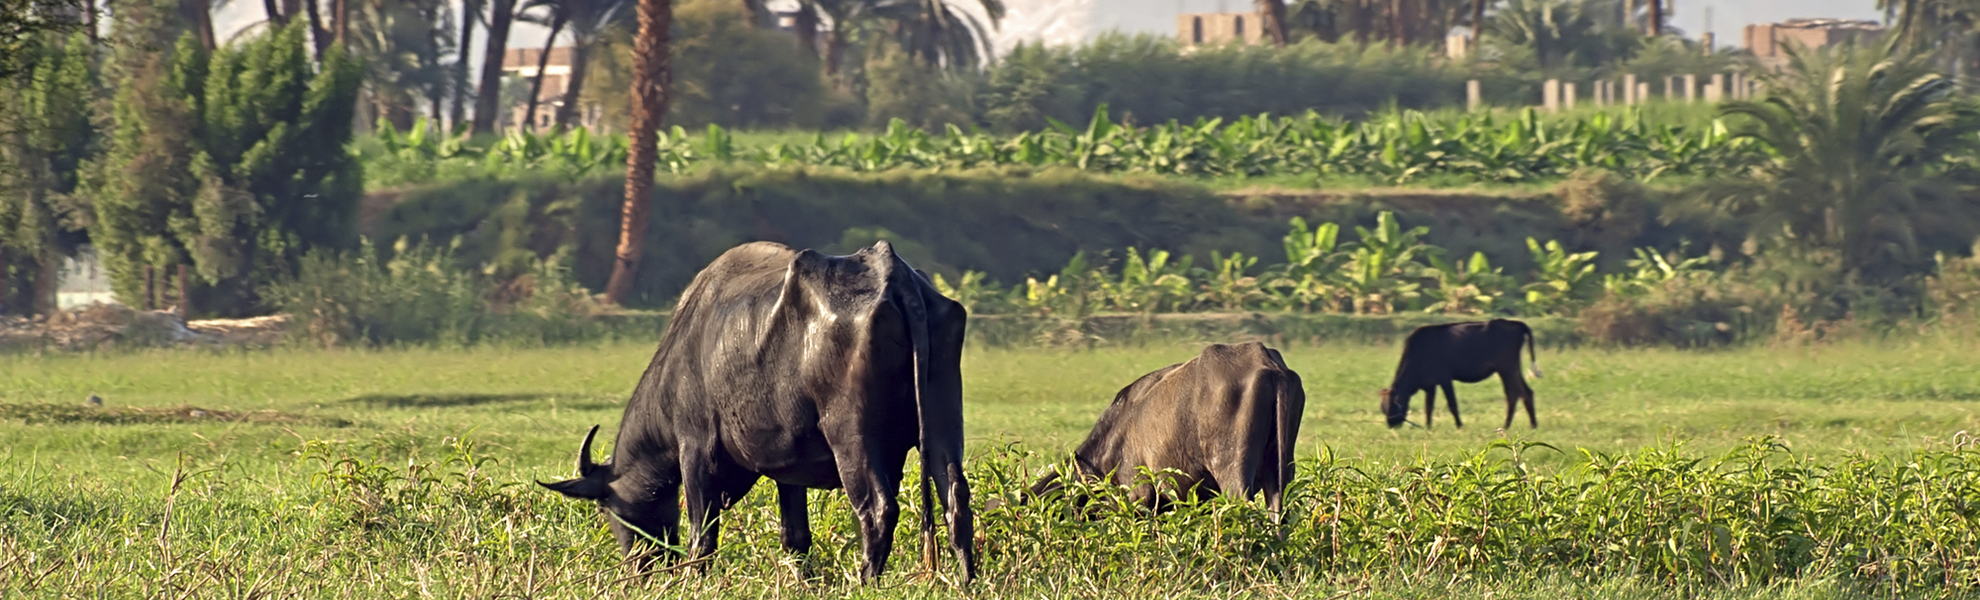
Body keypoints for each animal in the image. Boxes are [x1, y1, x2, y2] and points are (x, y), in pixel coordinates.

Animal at [538, 241, 975, 584]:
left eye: (607, 508)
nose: (640, 568)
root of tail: (896, 277)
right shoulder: (788, 470)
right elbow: (795, 536)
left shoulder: (695, 448)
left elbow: (701, 531)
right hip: (942, 423)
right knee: (956, 498)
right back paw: (967, 580)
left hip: (851, 436)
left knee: (877, 508)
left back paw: (865, 580)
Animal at [1378, 318, 1541, 430]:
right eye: (1383, 408)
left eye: (1393, 406)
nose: (1391, 425)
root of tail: (1516, 323)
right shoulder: (1430, 384)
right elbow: (1428, 406)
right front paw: (1428, 427)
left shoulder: (1444, 378)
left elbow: (1452, 404)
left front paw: (1459, 425)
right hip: (1512, 368)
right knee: (1526, 392)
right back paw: (1531, 424)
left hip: (1506, 368)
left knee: (1514, 394)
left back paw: (1508, 425)